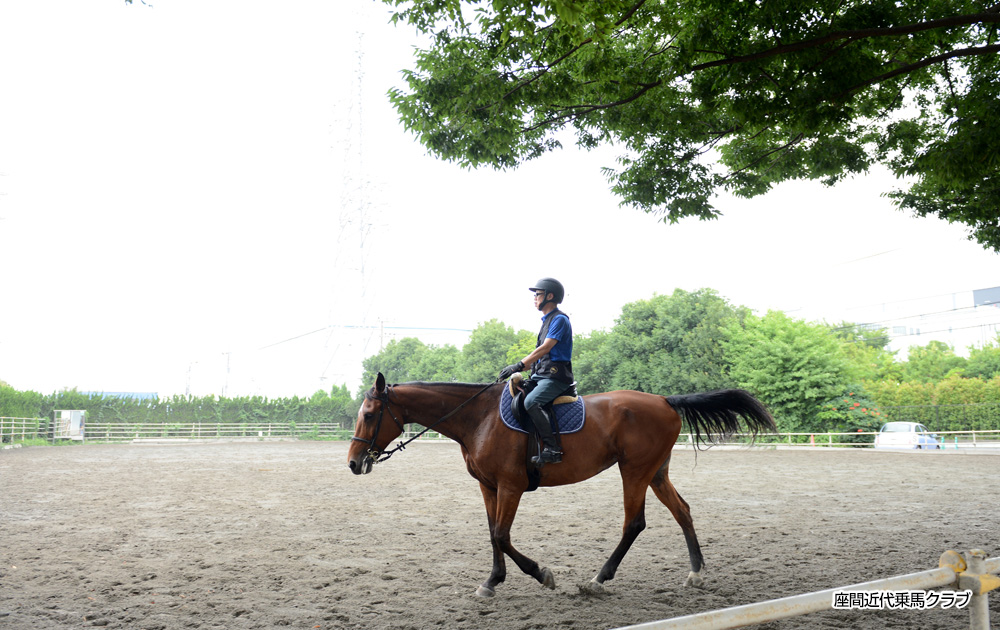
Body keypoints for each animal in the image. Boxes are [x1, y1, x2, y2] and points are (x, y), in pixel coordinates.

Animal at [348, 372, 776, 600]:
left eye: (369, 414)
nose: (353, 463)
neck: (478, 418)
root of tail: (664, 400)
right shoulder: (488, 487)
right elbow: (492, 533)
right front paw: (492, 582)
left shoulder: (511, 486)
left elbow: (502, 535)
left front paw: (541, 574)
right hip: (656, 472)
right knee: (683, 511)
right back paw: (696, 573)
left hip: (634, 471)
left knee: (634, 523)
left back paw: (599, 580)